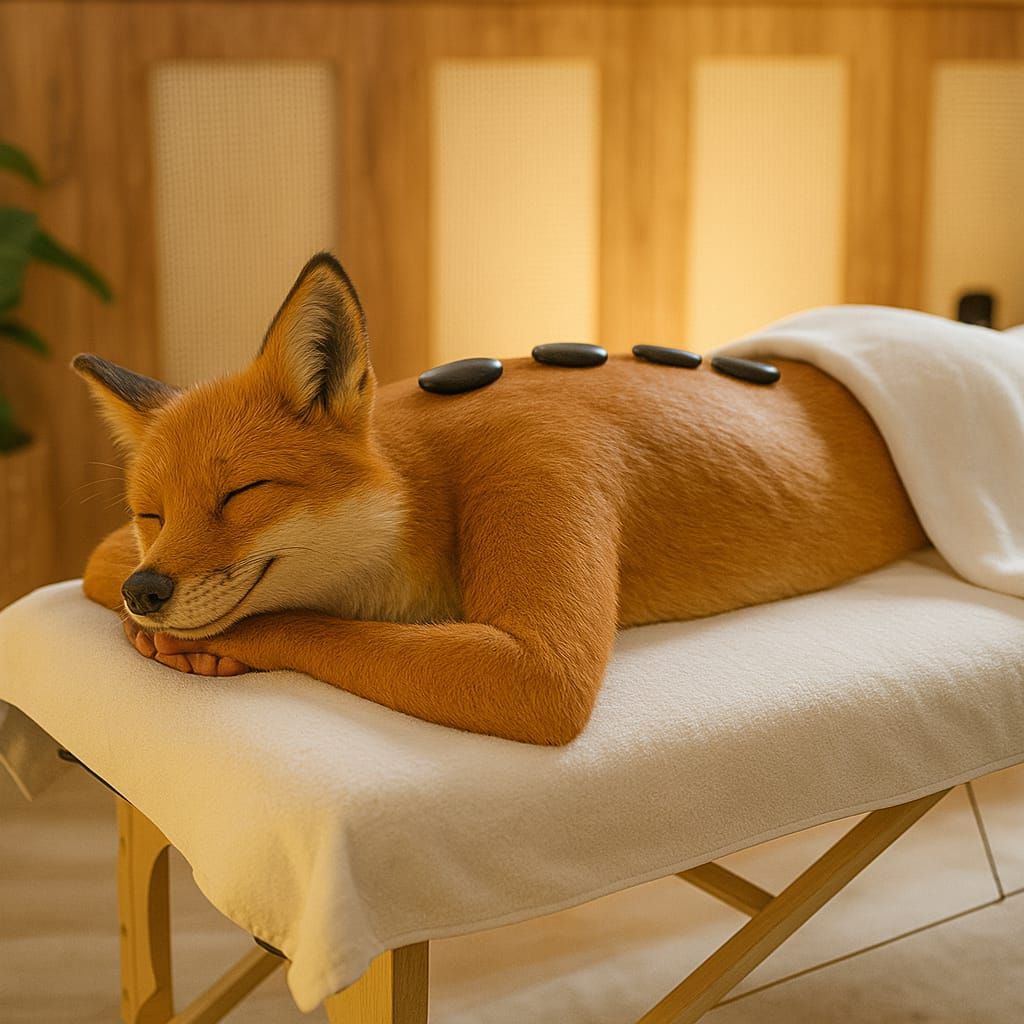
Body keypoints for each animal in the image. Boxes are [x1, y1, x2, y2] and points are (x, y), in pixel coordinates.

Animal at [75, 252, 927, 746]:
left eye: (242, 492)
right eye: (150, 514)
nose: (145, 592)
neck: (432, 483)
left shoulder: (538, 492)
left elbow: (295, 622)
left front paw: (213, 647)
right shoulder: (113, 550)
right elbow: (91, 563)